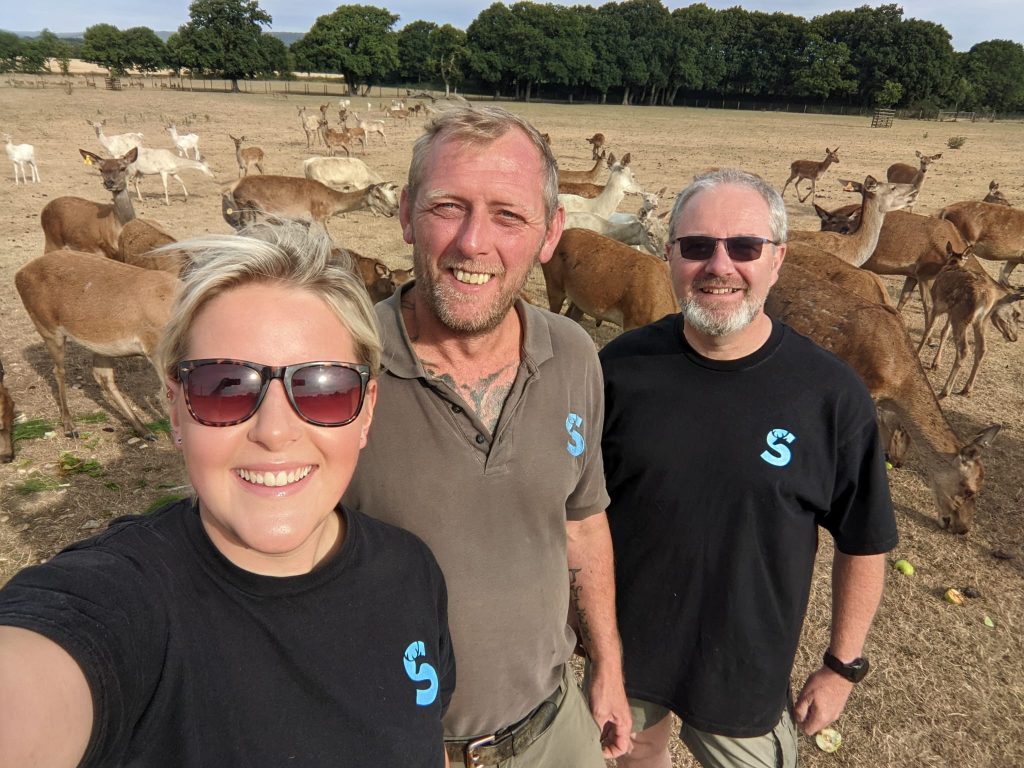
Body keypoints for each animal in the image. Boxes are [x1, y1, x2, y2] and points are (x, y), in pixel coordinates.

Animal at [14, 249, 178, 442]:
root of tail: (19, 274)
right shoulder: (157, 352)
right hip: (48, 328)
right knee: (59, 371)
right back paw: (70, 427)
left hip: (101, 346)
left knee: (102, 376)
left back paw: (145, 431)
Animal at [224, 176, 399, 230]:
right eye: (377, 195)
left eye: (392, 194)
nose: (392, 211)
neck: (331, 200)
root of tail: (234, 186)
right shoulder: (319, 218)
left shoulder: (305, 222)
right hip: (252, 215)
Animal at [921, 243, 1024, 399]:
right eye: (1016, 314)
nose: (1015, 337)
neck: (953, 263)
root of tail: (986, 297)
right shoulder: (950, 313)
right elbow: (944, 332)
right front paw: (935, 363)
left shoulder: (938, 306)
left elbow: (929, 329)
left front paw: (918, 353)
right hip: (980, 321)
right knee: (982, 348)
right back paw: (967, 389)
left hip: (961, 317)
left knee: (964, 350)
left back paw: (945, 390)